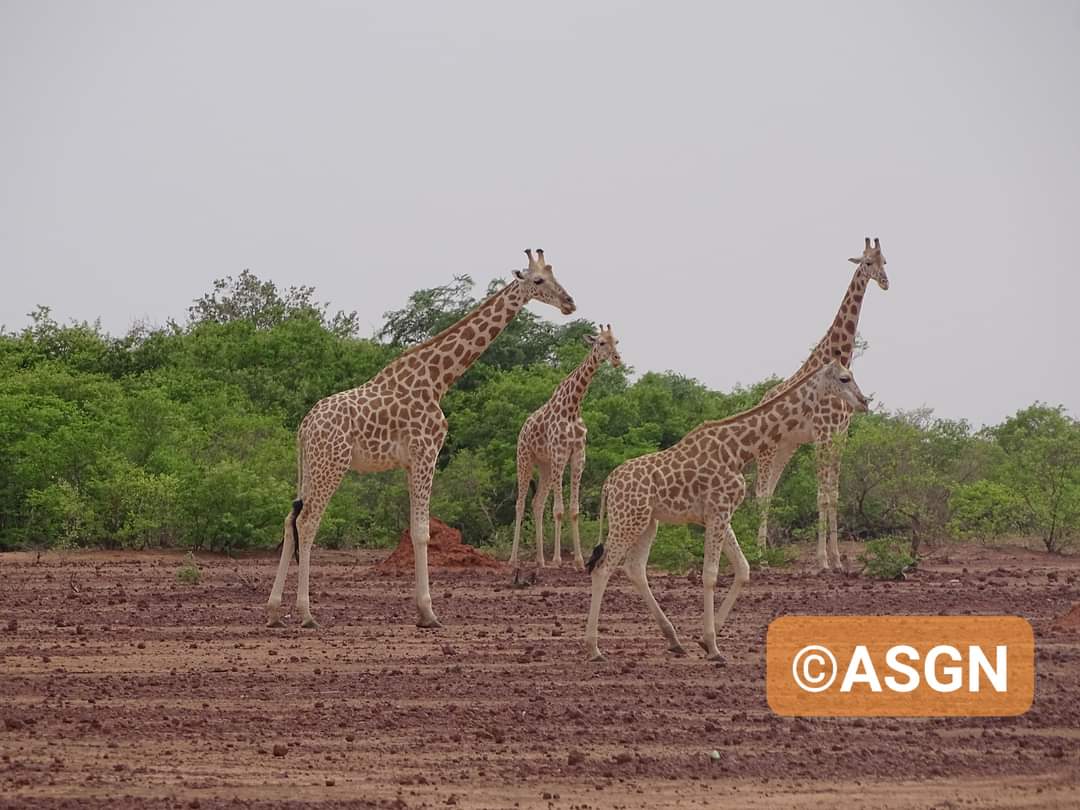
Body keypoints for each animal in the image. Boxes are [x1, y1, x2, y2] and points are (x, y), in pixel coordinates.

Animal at [266, 249, 576, 629]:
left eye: (555, 275)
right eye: (539, 280)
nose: (569, 302)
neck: (438, 379)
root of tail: (304, 426)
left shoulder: (410, 461)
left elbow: (415, 529)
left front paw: (422, 611)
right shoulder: (428, 452)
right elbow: (422, 532)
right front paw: (429, 612)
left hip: (311, 467)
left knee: (289, 520)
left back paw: (273, 611)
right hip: (332, 465)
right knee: (308, 522)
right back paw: (306, 613)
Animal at [509, 324, 622, 571]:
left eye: (617, 341)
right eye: (600, 342)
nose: (617, 359)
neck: (573, 407)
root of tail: (522, 429)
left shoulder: (578, 455)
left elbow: (574, 510)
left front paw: (578, 561)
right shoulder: (560, 454)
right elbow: (559, 510)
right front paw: (558, 560)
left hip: (545, 466)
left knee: (537, 503)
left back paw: (540, 560)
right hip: (525, 459)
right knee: (520, 504)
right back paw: (513, 560)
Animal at [583, 361, 869, 661]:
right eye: (844, 378)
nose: (864, 402)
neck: (739, 450)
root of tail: (607, 485)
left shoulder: (721, 513)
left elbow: (743, 569)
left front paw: (704, 639)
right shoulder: (718, 510)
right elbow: (710, 575)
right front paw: (714, 647)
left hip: (647, 521)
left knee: (635, 569)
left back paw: (674, 640)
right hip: (628, 519)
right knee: (602, 569)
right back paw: (594, 648)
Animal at [755, 237, 888, 571]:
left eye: (886, 262)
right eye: (867, 262)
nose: (885, 282)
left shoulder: (839, 435)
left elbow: (834, 494)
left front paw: (838, 559)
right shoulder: (822, 434)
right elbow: (821, 496)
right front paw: (822, 561)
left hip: (785, 448)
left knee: (770, 491)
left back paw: (765, 555)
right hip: (766, 450)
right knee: (760, 494)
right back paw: (760, 559)